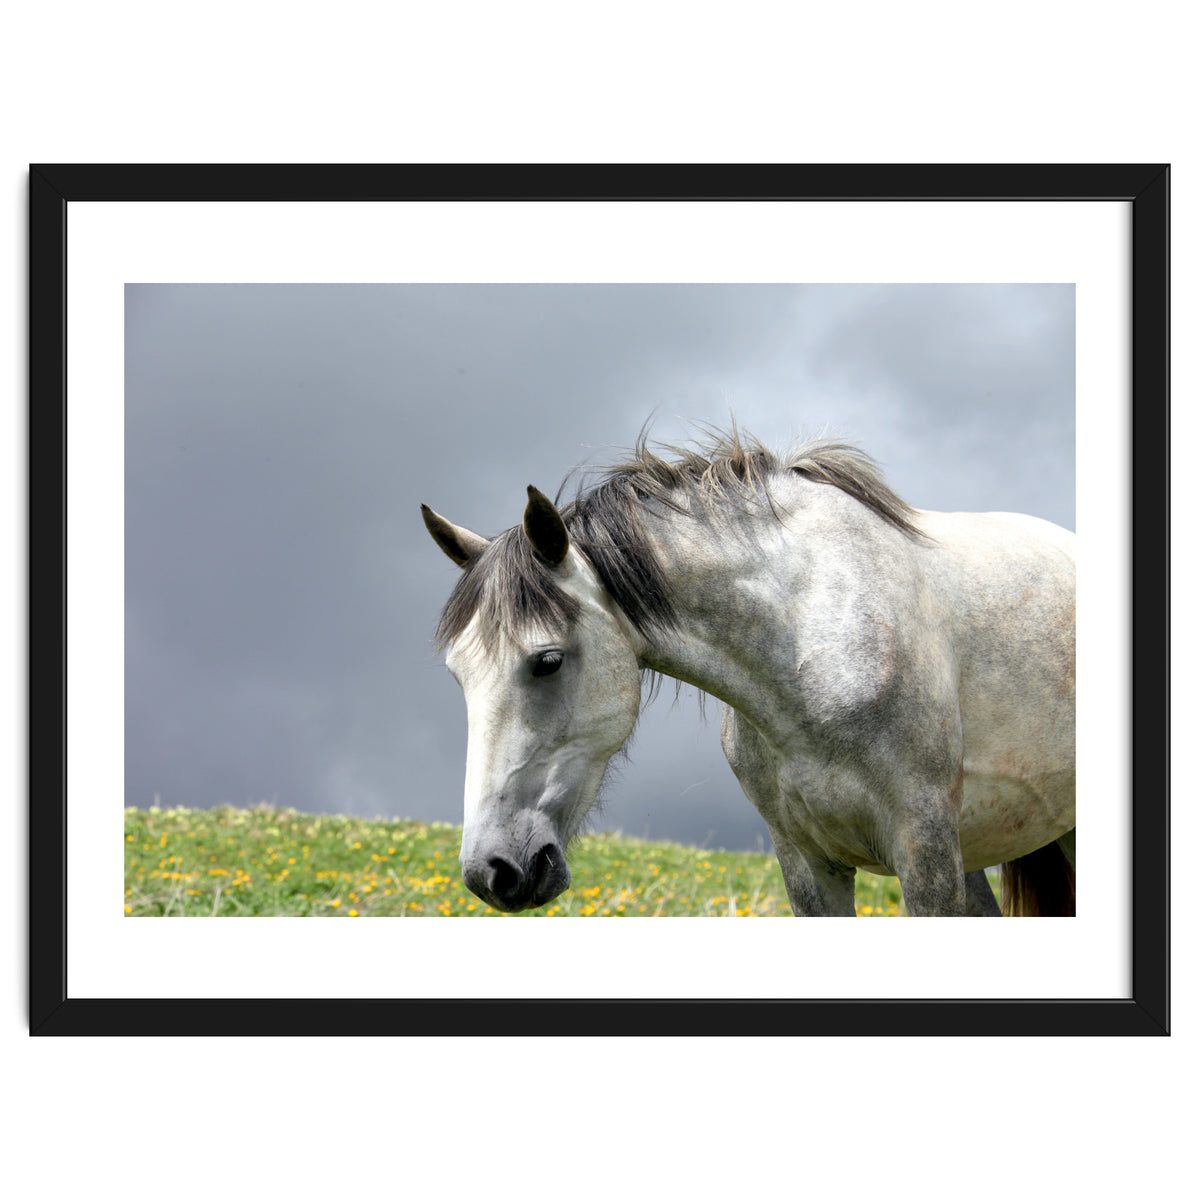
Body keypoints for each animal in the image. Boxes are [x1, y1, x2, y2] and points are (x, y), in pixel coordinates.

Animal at [421, 428, 1076, 917]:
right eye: (457, 676)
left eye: (548, 661)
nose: (492, 871)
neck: (811, 647)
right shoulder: (808, 865)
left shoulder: (925, 850)